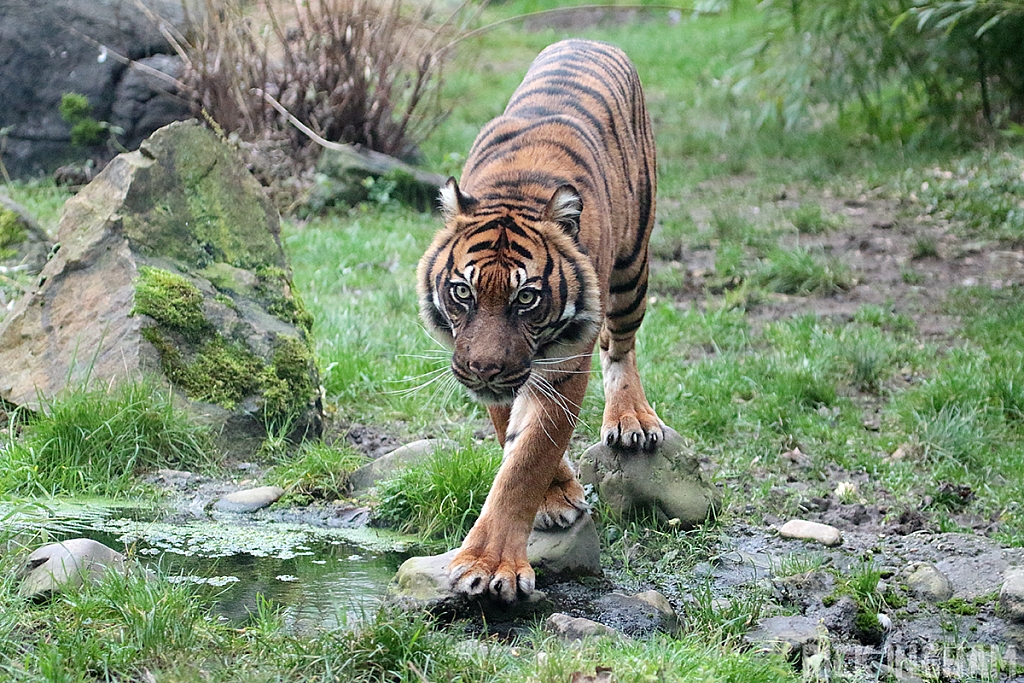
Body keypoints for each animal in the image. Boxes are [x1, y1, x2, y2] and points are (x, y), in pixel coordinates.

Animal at [415, 38, 663, 602]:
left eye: (526, 298)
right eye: (462, 291)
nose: (484, 370)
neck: (517, 190)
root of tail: (589, 39)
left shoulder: (565, 362)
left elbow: (527, 461)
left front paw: (489, 566)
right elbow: (513, 434)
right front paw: (556, 497)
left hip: (631, 269)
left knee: (621, 345)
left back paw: (631, 419)